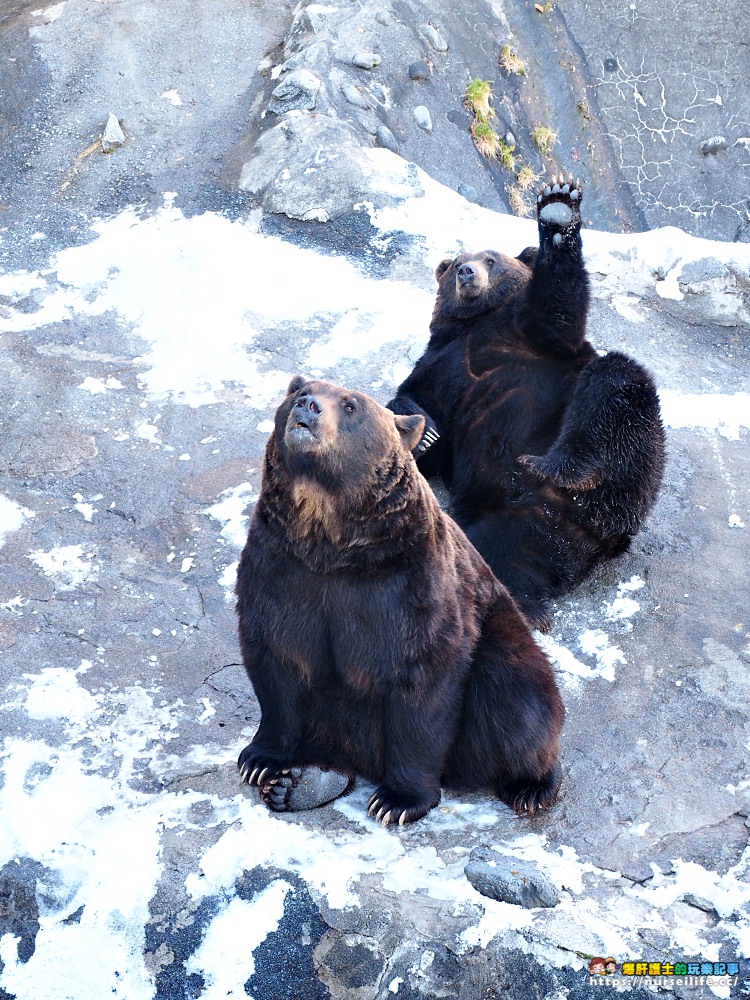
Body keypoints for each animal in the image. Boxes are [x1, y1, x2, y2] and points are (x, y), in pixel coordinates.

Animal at [235, 378, 564, 824]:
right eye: (299, 394)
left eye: (351, 405)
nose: (308, 406)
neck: (329, 538)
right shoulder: (282, 565)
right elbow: (277, 657)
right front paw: (261, 760)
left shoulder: (407, 584)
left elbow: (421, 681)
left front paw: (397, 800)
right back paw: (302, 783)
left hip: (502, 634)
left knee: (516, 697)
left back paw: (532, 785)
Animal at [390, 176, 668, 628]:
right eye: (455, 263)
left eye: (490, 258)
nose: (466, 271)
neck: (476, 323)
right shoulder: (438, 364)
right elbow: (418, 406)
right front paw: (425, 433)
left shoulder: (527, 335)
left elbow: (558, 311)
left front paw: (557, 210)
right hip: (510, 521)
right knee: (493, 554)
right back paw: (524, 606)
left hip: (622, 462)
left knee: (617, 383)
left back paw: (560, 467)